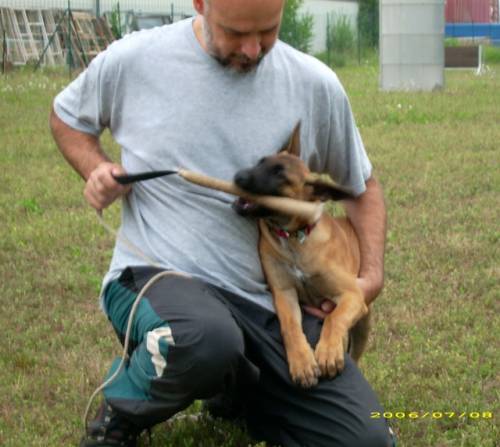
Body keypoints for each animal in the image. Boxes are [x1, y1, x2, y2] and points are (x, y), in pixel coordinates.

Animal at [233, 124, 371, 388]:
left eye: (280, 174)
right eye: (261, 162)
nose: (238, 177)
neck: (294, 238)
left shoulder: (352, 295)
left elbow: (334, 318)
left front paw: (327, 352)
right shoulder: (284, 293)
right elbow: (289, 327)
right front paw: (302, 362)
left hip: (364, 322)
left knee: (355, 352)